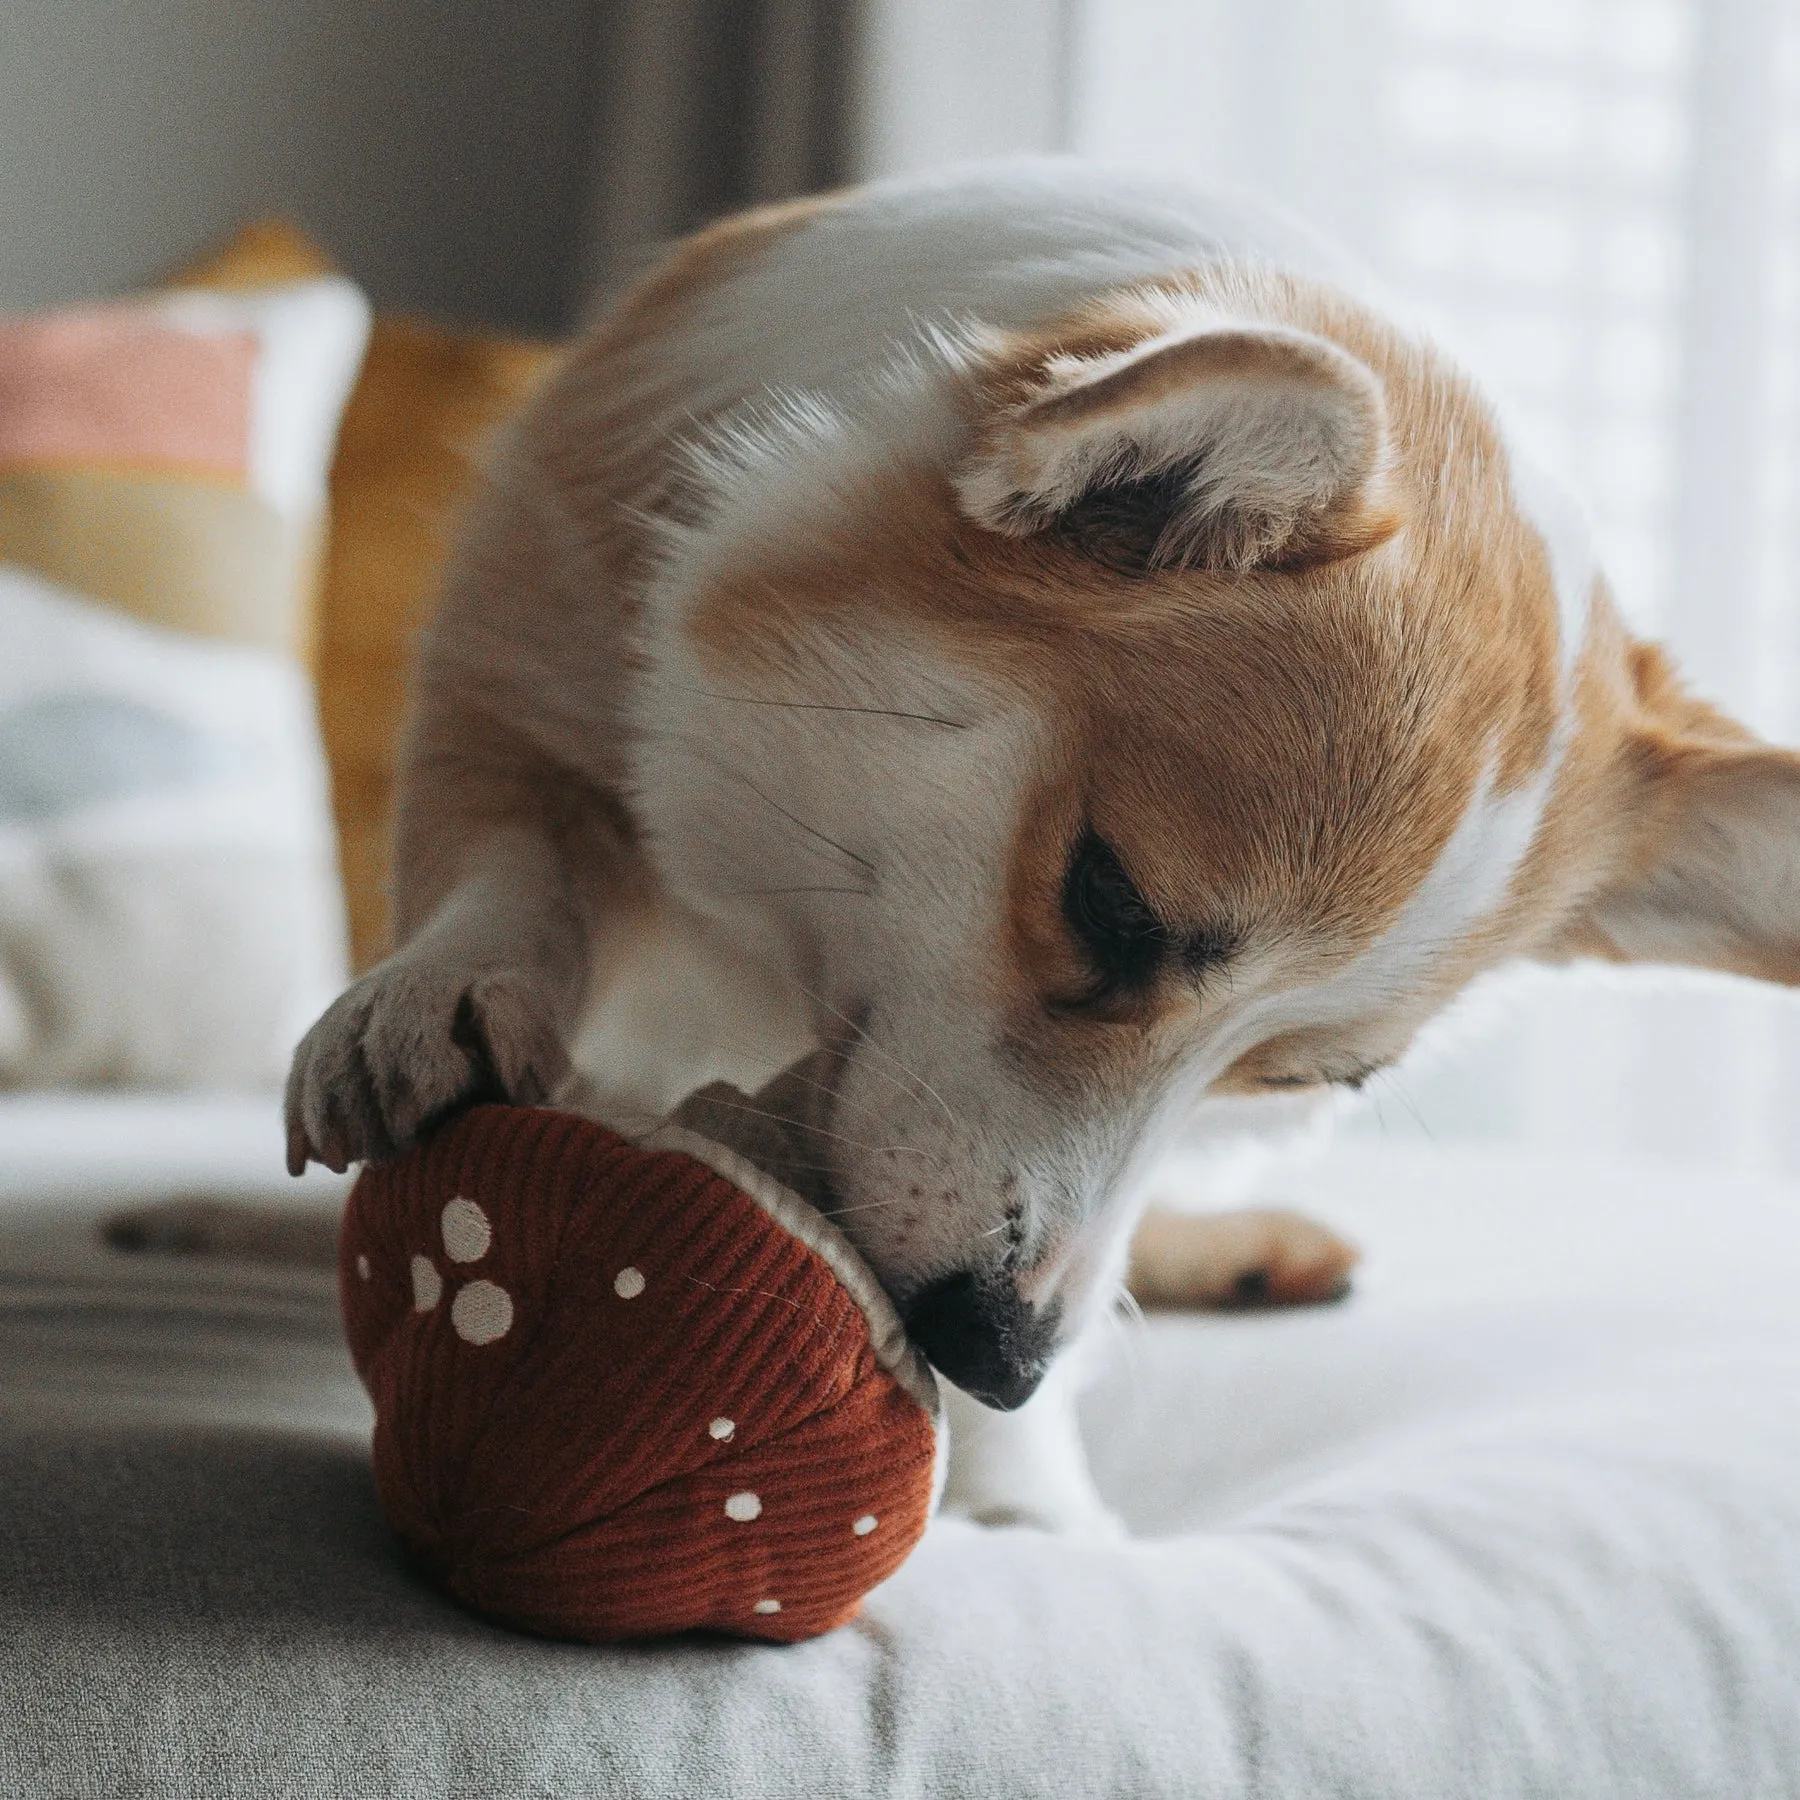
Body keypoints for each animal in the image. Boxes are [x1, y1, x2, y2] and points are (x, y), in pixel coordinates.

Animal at [270, 158, 1800, 1533]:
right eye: (1111, 905)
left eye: (1299, 1080)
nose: (996, 1360)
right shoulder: (523, 676)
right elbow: (511, 868)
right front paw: (439, 995)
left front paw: (1023, 1504)